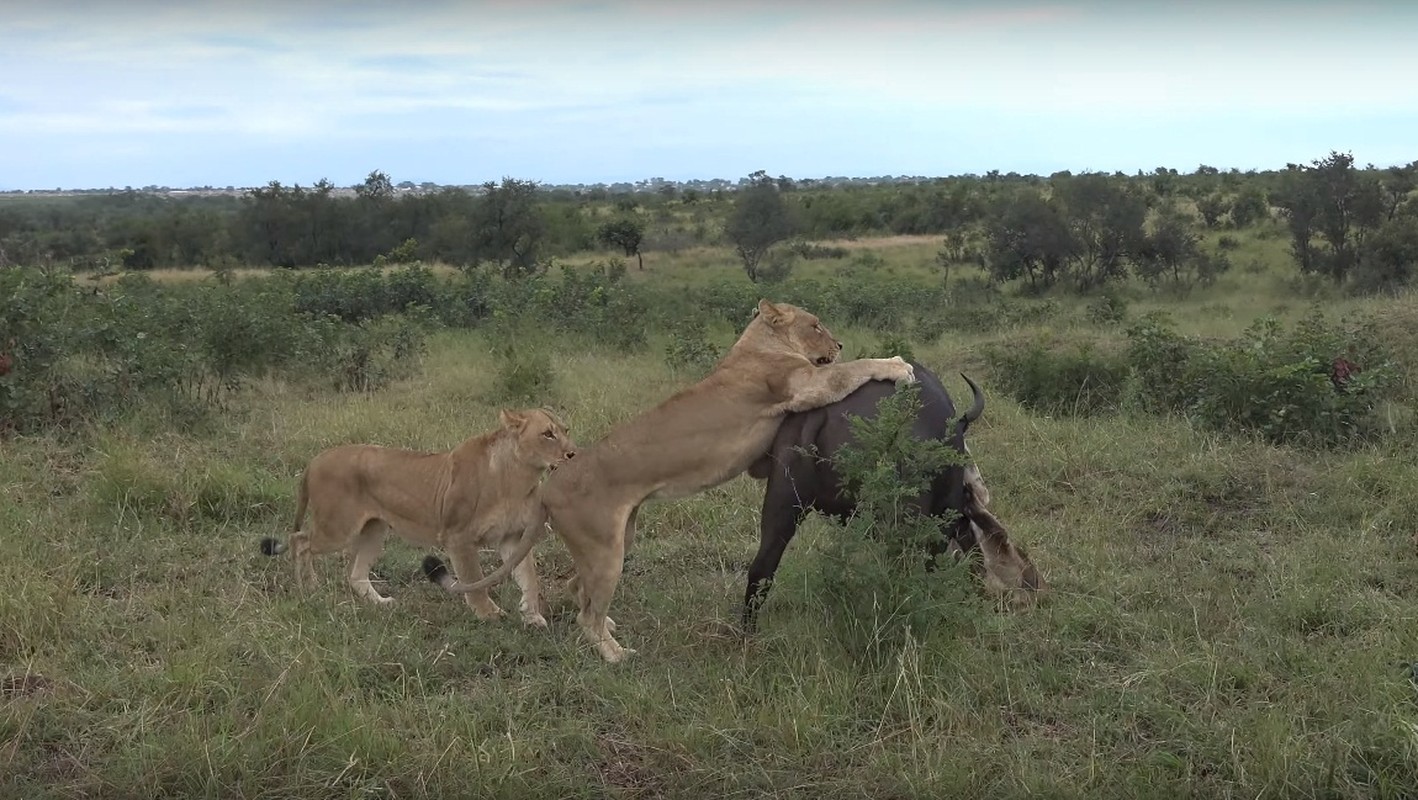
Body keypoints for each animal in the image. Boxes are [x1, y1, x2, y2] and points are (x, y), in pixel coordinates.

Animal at [260, 405, 575, 624]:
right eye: (548, 434)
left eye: (565, 430)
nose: (573, 454)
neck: (518, 477)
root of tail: (315, 460)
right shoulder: (457, 537)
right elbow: (474, 580)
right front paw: (489, 614)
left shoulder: (513, 536)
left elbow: (528, 577)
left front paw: (532, 616)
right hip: (337, 528)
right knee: (300, 540)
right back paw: (308, 587)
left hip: (374, 531)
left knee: (355, 574)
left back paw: (380, 603)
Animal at [436, 300, 913, 663]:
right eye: (815, 325)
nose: (839, 343)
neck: (755, 343)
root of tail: (548, 487)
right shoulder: (807, 385)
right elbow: (858, 367)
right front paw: (898, 365)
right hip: (605, 549)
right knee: (586, 615)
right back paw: (616, 655)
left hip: (618, 538)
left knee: (577, 590)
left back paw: (609, 625)